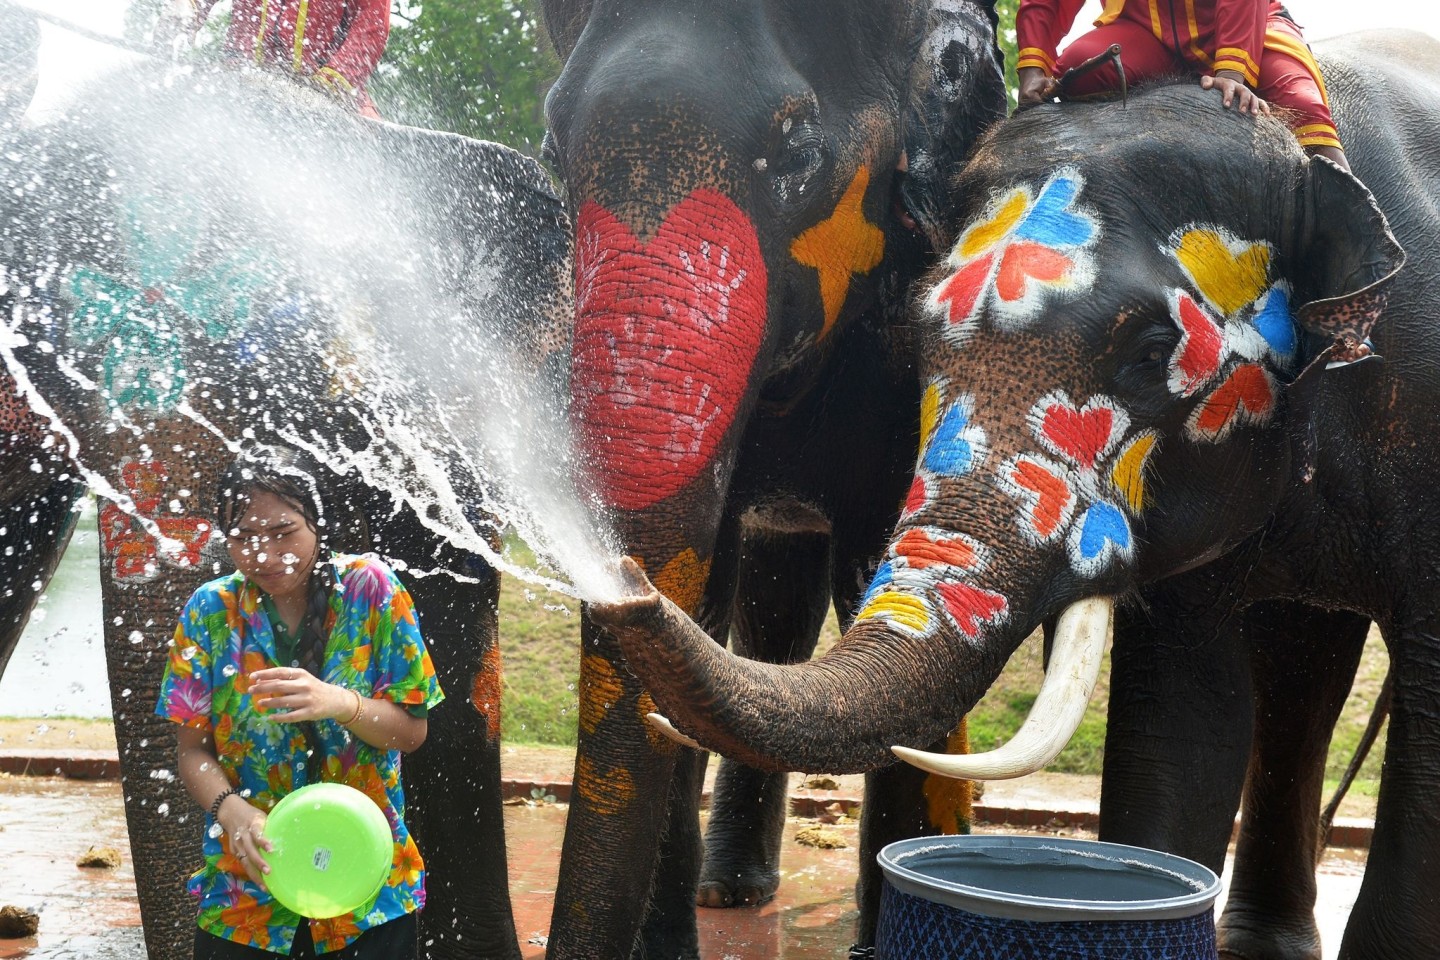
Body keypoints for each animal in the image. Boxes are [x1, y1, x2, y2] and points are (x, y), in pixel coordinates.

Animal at [535, 3, 1008, 955]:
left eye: (796, 150)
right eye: (550, 151)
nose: (623, 586)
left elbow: (884, 573)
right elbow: (707, 585)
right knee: (772, 614)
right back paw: (728, 892)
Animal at [596, 30, 1440, 960]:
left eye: (1152, 352)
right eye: (915, 345)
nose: (623, 585)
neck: (1298, 144)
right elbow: (1181, 721)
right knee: (1299, 669)